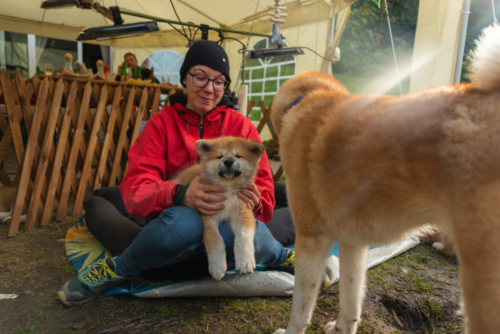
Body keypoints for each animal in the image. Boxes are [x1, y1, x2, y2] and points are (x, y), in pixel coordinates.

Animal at [172, 136, 266, 280]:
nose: (228, 161)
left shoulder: (242, 209)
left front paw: (245, 261)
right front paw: (217, 265)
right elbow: (214, 239)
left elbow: (243, 236)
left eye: (238, 155)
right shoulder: (209, 214)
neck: (227, 188)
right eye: (219, 156)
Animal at [272, 24, 500, 334]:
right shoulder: (353, 244)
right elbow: (351, 302)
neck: (306, 99)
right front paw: (341, 329)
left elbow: (301, 307)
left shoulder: (311, 238)